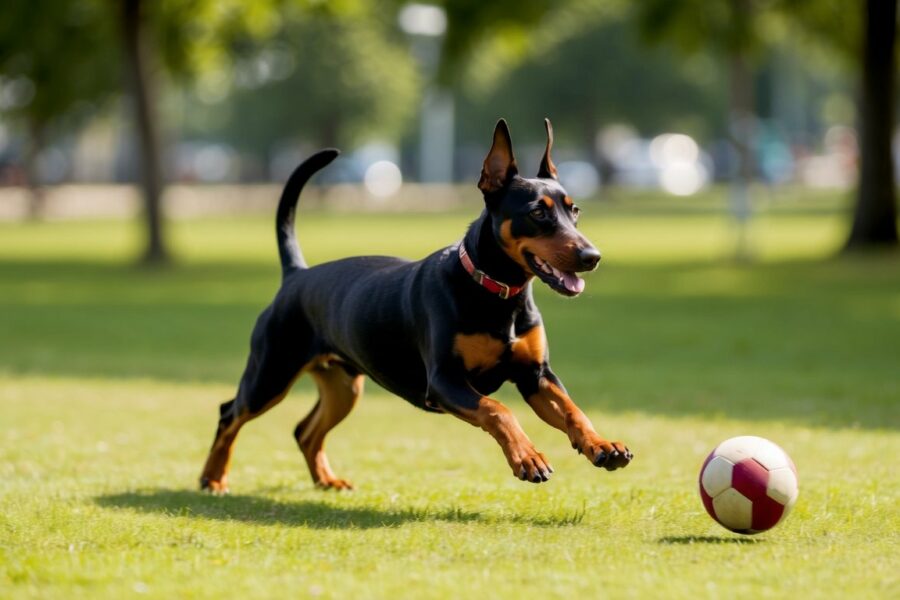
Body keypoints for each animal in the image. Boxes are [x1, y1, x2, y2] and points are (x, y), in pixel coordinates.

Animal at [200, 118, 628, 492]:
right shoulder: (444, 381)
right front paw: (527, 457)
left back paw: (326, 480)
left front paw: (601, 445)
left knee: (304, 431)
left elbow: (573, 410)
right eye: (538, 212)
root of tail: (296, 275)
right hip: (270, 374)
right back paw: (213, 478)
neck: (497, 293)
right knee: (229, 413)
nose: (592, 256)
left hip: (343, 384)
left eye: (574, 210)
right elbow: (497, 409)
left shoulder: (536, 376)